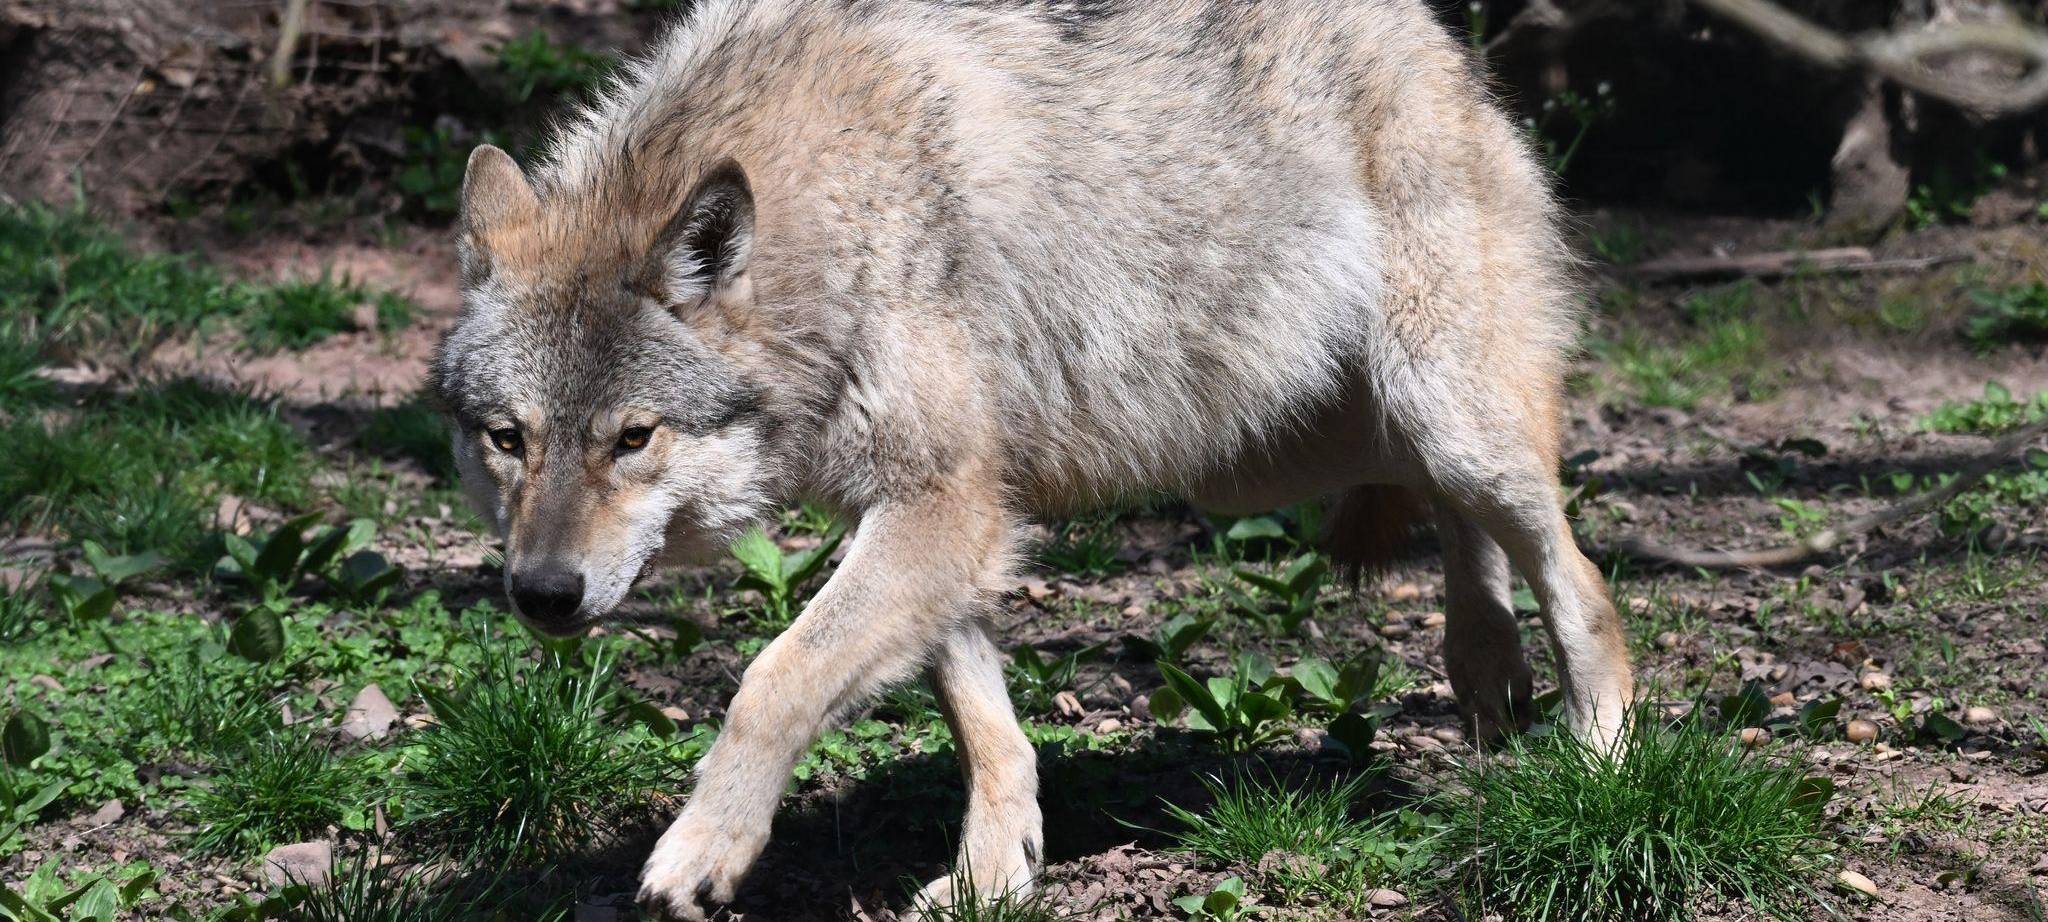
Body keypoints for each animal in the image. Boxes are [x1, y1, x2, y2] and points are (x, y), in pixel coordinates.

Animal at [429, 0, 1634, 916]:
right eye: (508, 438)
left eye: (632, 437)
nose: (541, 593)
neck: (838, 216)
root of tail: (1437, 40)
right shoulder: (940, 517)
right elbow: (982, 723)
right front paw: (991, 875)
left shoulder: (943, 506)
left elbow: (775, 679)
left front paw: (701, 850)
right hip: (1282, 450)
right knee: (1460, 523)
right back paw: (1485, 671)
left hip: (1435, 417)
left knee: (1580, 578)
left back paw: (1599, 760)